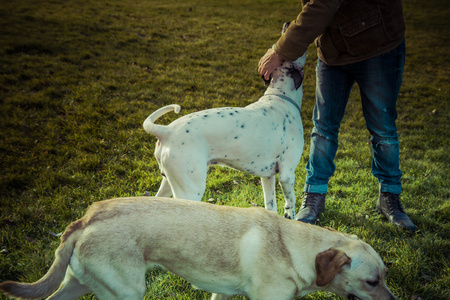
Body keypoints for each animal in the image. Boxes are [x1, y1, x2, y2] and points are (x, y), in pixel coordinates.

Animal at [0, 197, 396, 300]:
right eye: (372, 282)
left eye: (385, 277)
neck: (292, 248)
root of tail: (85, 219)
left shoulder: (225, 295)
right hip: (126, 293)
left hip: (80, 283)